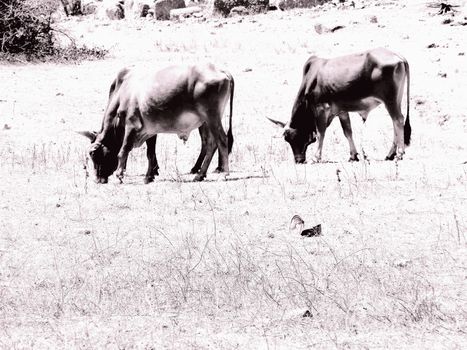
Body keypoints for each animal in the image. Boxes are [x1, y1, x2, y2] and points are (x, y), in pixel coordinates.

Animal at [79, 63, 238, 183]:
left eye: (94, 153)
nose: (98, 180)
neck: (123, 92)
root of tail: (220, 70)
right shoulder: (149, 130)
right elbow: (150, 153)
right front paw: (149, 175)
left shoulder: (131, 125)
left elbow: (123, 150)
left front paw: (119, 175)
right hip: (206, 121)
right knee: (210, 143)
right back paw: (200, 174)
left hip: (212, 117)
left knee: (222, 140)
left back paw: (224, 173)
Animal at [268, 47, 412, 164]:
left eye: (292, 137)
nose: (299, 160)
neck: (311, 80)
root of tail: (398, 56)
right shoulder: (341, 111)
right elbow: (347, 132)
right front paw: (353, 156)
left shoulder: (321, 108)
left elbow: (321, 133)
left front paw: (316, 157)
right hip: (395, 100)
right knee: (395, 123)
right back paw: (390, 155)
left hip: (390, 100)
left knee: (398, 120)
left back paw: (399, 154)